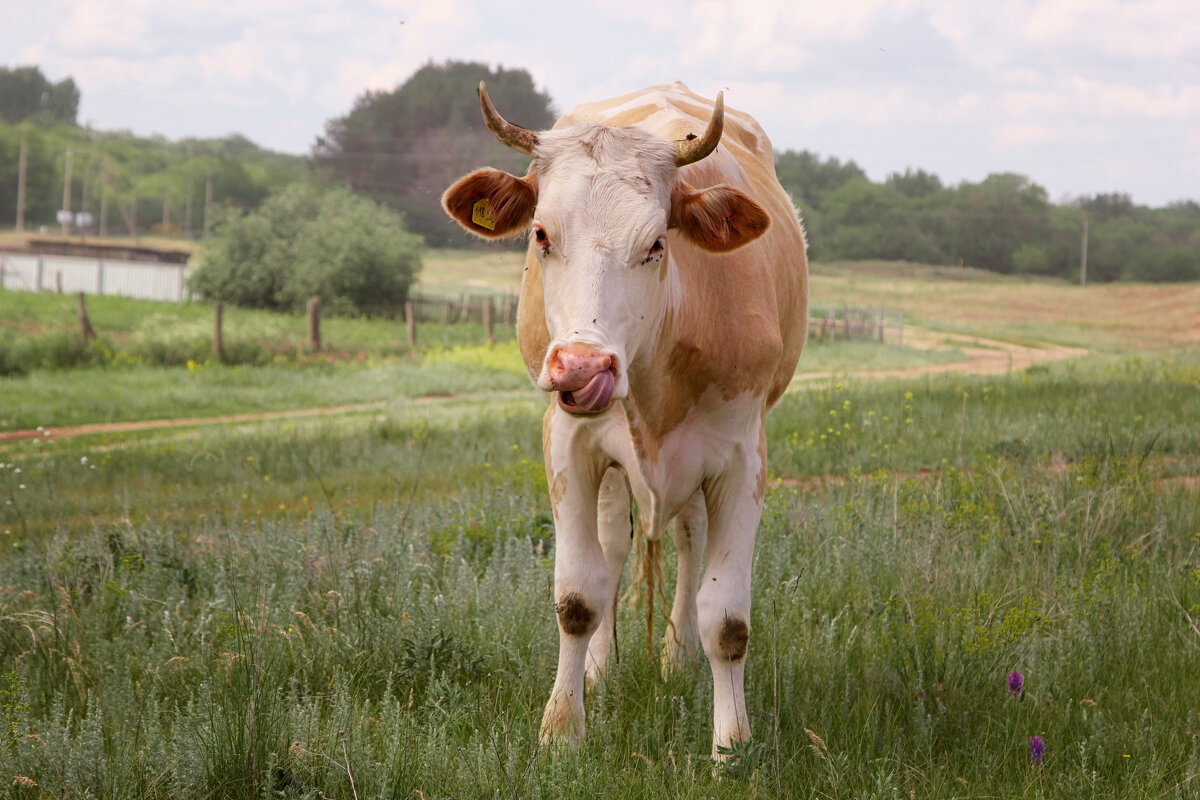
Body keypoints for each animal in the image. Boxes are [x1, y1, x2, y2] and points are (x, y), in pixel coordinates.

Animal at [446, 79, 811, 758]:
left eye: (656, 244)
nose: (582, 368)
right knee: (614, 546)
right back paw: (603, 667)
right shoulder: (568, 442)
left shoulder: (742, 456)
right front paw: (563, 728)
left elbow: (726, 618)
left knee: (689, 544)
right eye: (541, 234)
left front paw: (730, 746)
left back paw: (675, 658)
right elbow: (577, 595)